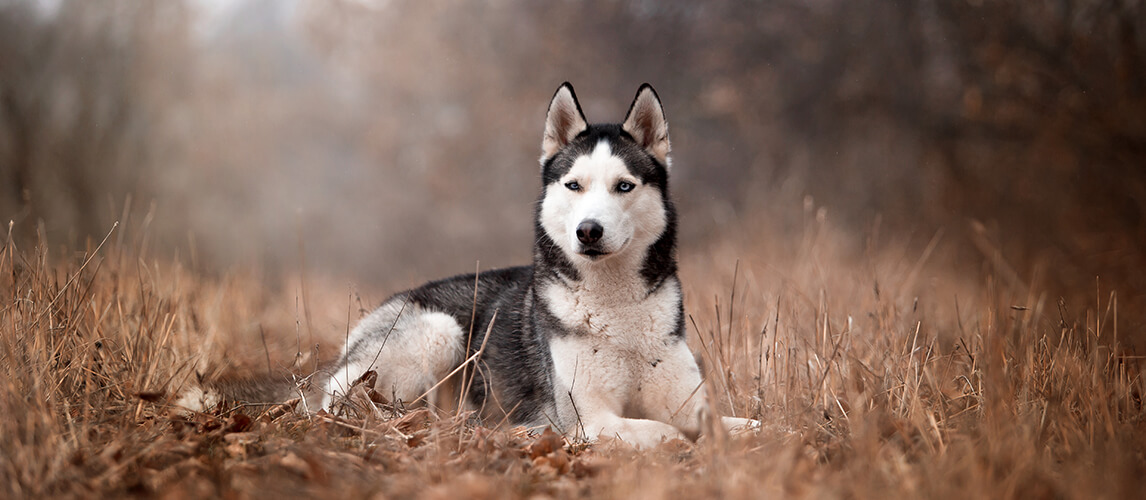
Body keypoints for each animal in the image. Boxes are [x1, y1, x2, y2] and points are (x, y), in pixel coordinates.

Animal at [185, 83, 760, 449]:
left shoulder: (687, 399)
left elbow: (745, 423)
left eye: (624, 185)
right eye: (574, 185)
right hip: (437, 332)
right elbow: (664, 432)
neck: (615, 307)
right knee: (354, 408)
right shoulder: (589, 418)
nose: (588, 231)